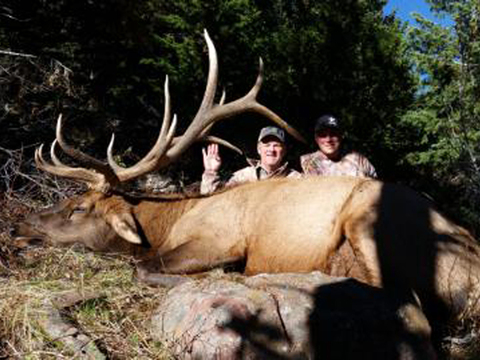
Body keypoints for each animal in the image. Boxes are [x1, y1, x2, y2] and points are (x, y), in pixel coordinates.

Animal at [10, 31, 480, 330]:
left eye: (79, 207)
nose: (18, 225)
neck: (169, 221)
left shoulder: (220, 239)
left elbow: (142, 268)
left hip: (371, 217)